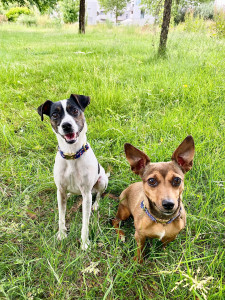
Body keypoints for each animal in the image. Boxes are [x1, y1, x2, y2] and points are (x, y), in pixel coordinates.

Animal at [37, 93, 108, 248]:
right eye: (55, 114)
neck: (71, 154)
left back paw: (96, 204)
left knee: (99, 194)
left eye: (75, 110)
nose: (66, 125)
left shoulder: (86, 194)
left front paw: (85, 243)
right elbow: (61, 216)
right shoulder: (60, 190)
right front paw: (62, 234)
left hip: (102, 181)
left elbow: (85, 223)